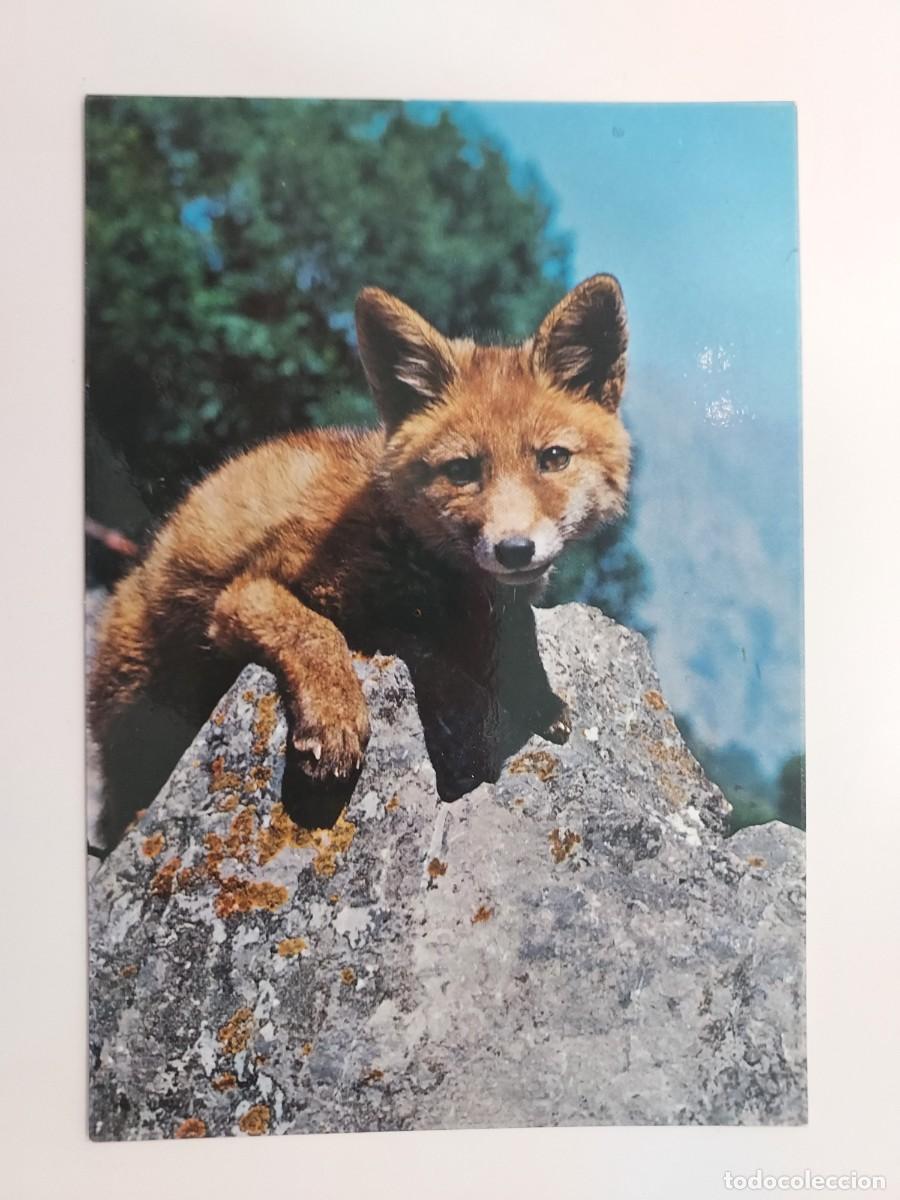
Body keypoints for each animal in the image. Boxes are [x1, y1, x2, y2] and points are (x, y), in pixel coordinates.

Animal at [89, 274, 630, 850]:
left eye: (553, 459)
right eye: (462, 470)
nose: (514, 549)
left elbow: (514, 635)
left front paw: (536, 693)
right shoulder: (245, 593)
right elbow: (316, 633)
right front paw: (335, 720)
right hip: (140, 712)